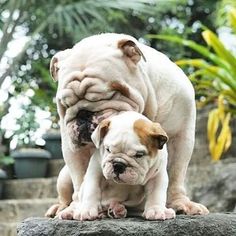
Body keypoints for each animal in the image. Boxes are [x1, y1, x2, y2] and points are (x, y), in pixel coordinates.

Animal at [47, 32, 208, 218]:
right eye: (65, 104)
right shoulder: (73, 150)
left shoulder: (181, 137)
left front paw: (180, 203)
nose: (83, 113)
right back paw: (62, 208)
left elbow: (176, 174)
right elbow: (81, 179)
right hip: (63, 176)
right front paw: (77, 209)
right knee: (67, 193)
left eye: (112, 93)